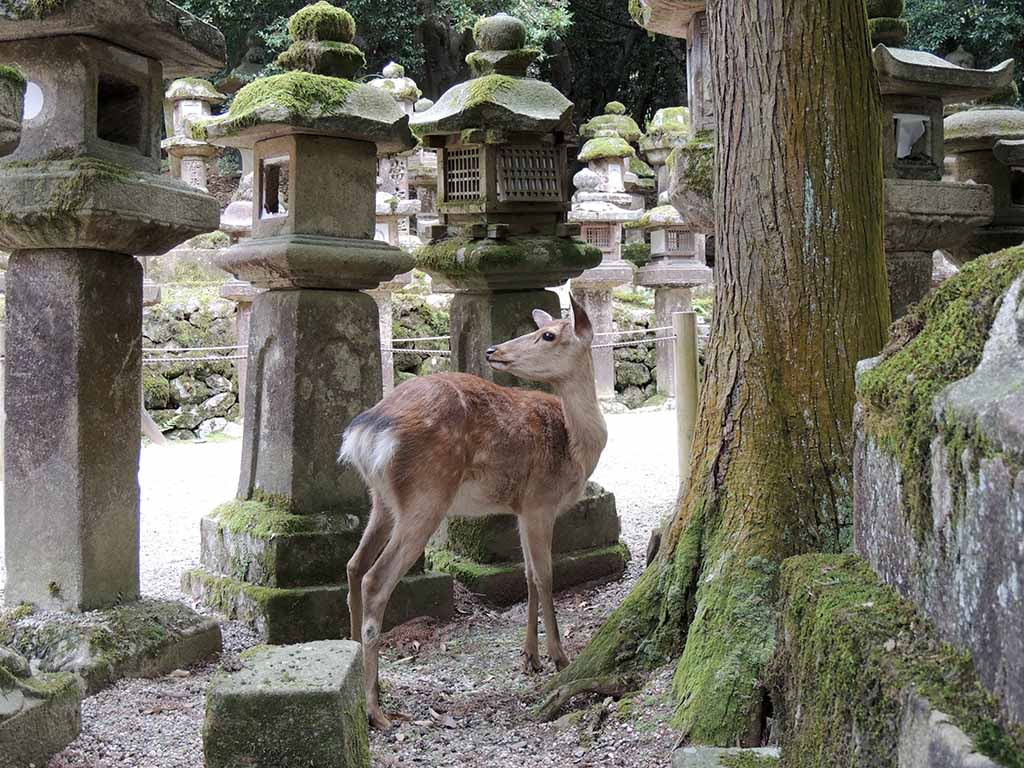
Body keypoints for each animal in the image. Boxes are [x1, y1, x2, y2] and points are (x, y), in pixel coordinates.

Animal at [335, 296, 606, 733]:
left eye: (547, 334)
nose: (494, 350)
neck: (579, 447)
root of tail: (365, 433)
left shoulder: (520, 508)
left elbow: (527, 577)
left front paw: (529, 657)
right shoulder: (540, 502)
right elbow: (546, 576)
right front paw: (559, 656)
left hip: (382, 500)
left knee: (353, 566)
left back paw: (364, 682)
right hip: (426, 497)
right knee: (375, 579)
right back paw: (377, 711)